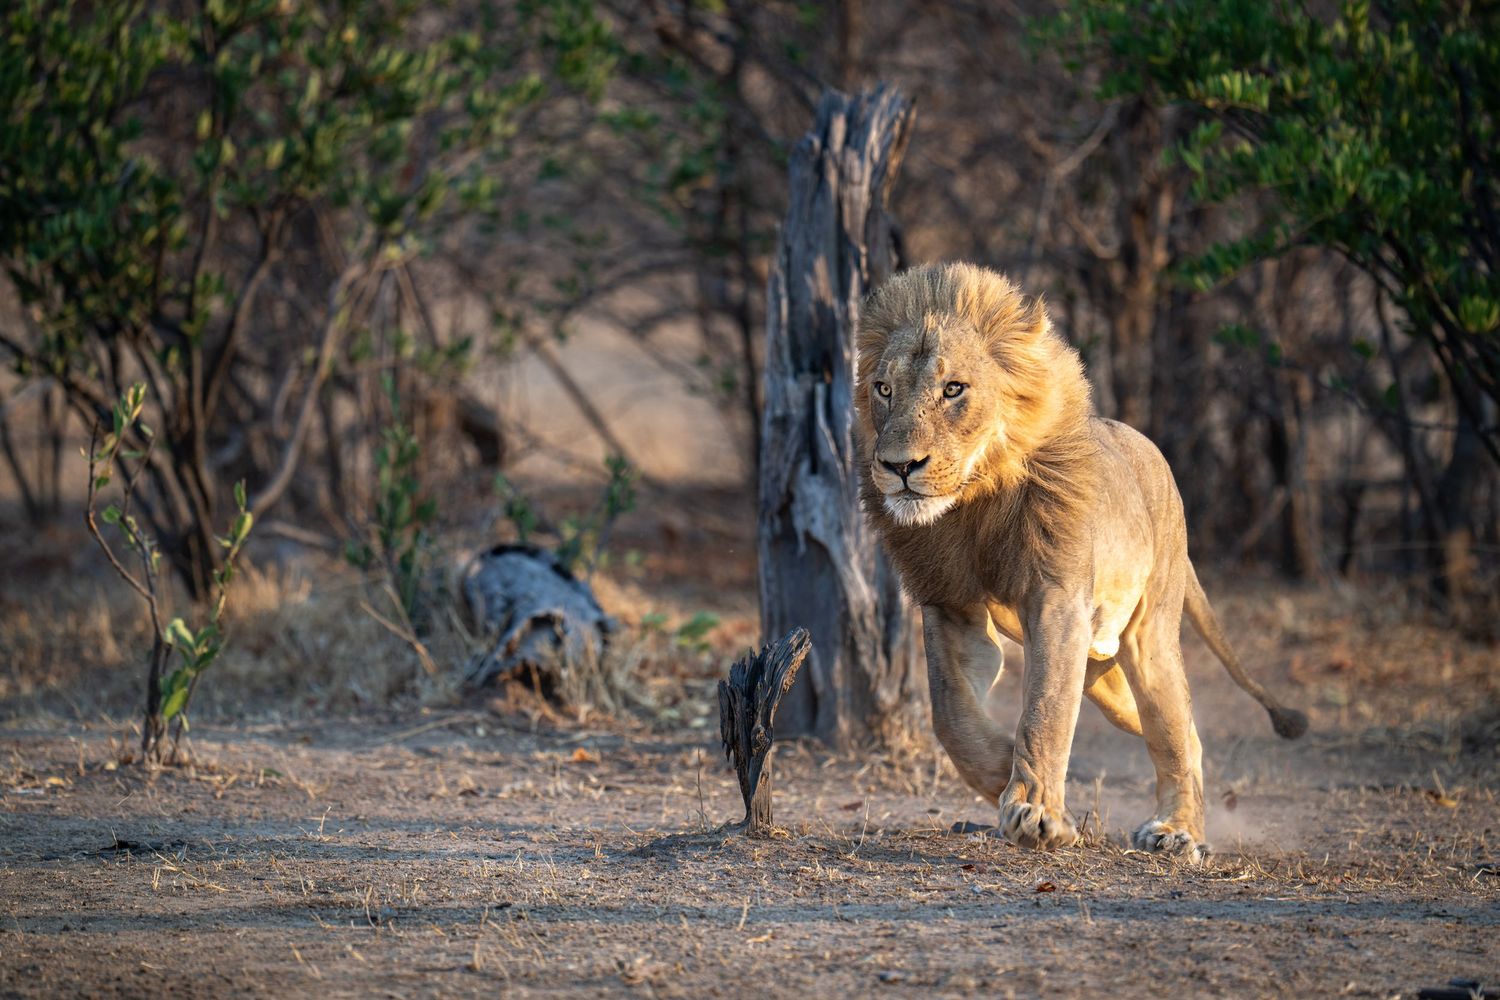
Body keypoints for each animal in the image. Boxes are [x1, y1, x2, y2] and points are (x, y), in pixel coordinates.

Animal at [855, 261, 1306, 861]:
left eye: (953, 389)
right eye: (883, 389)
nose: (899, 467)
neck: (973, 504)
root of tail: (1152, 451)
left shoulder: (1057, 599)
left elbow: (1043, 711)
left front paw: (1035, 813)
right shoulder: (951, 605)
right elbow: (952, 716)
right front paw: (1004, 774)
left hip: (1147, 636)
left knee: (1173, 726)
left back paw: (1178, 831)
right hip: (1101, 671)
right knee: (1184, 730)